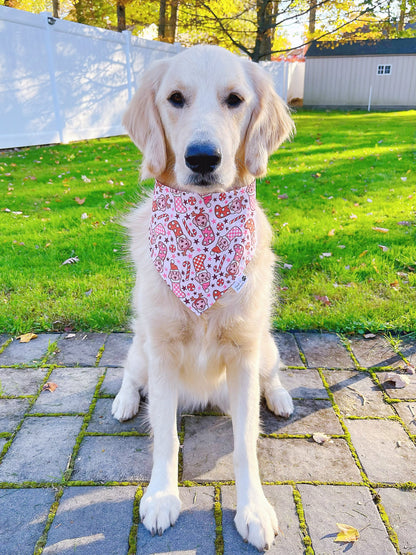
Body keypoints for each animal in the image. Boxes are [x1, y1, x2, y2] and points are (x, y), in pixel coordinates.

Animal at [113, 44, 296, 552]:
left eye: (234, 99)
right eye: (175, 98)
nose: (201, 158)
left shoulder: (244, 353)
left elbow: (245, 444)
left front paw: (254, 509)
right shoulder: (161, 350)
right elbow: (164, 436)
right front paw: (161, 496)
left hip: (265, 348)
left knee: (272, 377)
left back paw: (280, 397)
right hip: (141, 349)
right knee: (129, 375)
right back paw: (123, 401)